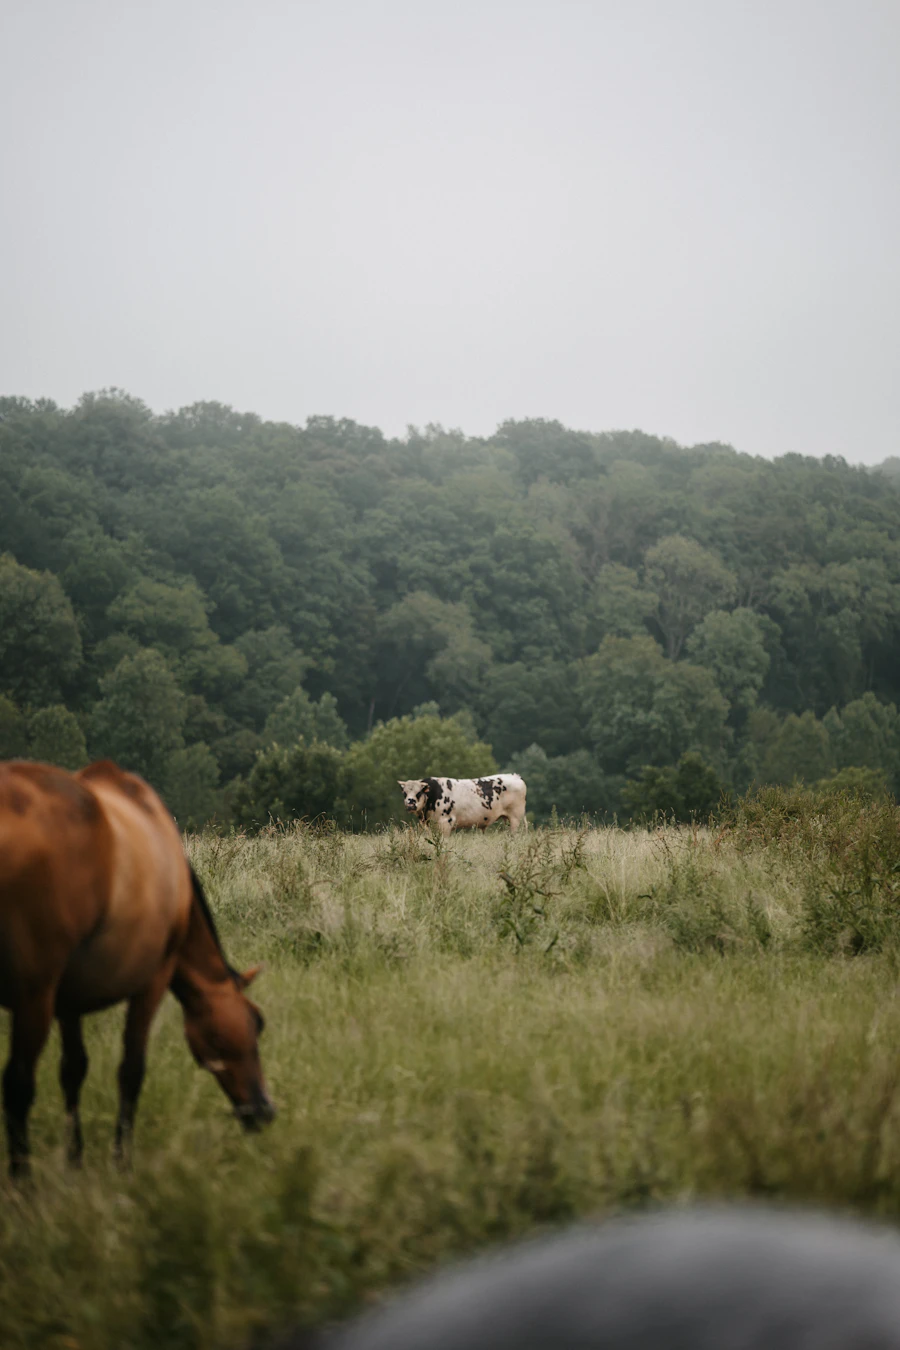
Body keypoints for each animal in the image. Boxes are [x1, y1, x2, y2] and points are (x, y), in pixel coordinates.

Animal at [397, 774, 527, 835]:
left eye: (419, 792)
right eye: (404, 793)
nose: (410, 803)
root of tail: (514, 776)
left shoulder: (445, 823)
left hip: (516, 819)